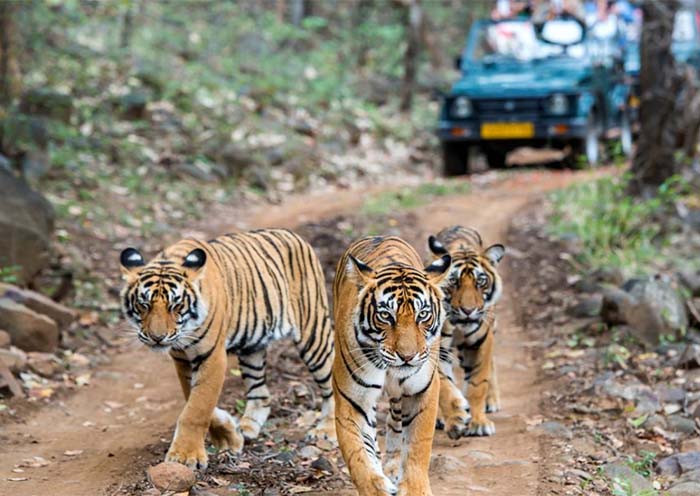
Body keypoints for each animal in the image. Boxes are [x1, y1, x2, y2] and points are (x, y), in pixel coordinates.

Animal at [118, 229, 336, 468]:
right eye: (143, 304)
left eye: (176, 305)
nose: (157, 338)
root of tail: (293, 235)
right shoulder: (182, 359)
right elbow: (192, 398)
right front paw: (229, 436)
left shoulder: (211, 356)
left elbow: (197, 407)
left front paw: (185, 456)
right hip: (252, 348)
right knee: (261, 393)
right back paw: (248, 428)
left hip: (314, 333)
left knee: (331, 383)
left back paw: (327, 431)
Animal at [332, 236, 452, 496]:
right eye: (386, 316)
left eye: (423, 315)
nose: (407, 356)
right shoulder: (352, 400)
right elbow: (358, 456)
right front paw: (376, 487)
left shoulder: (422, 391)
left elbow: (418, 446)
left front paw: (414, 488)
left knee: (396, 421)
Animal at [426, 225, 504, 438]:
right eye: (454, 282)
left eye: (480, 282)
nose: (468, 310)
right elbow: (444, 385)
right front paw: (456, 418)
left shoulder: (481, 342)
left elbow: (477, 383)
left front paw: (478, 423)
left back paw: (492, 401)